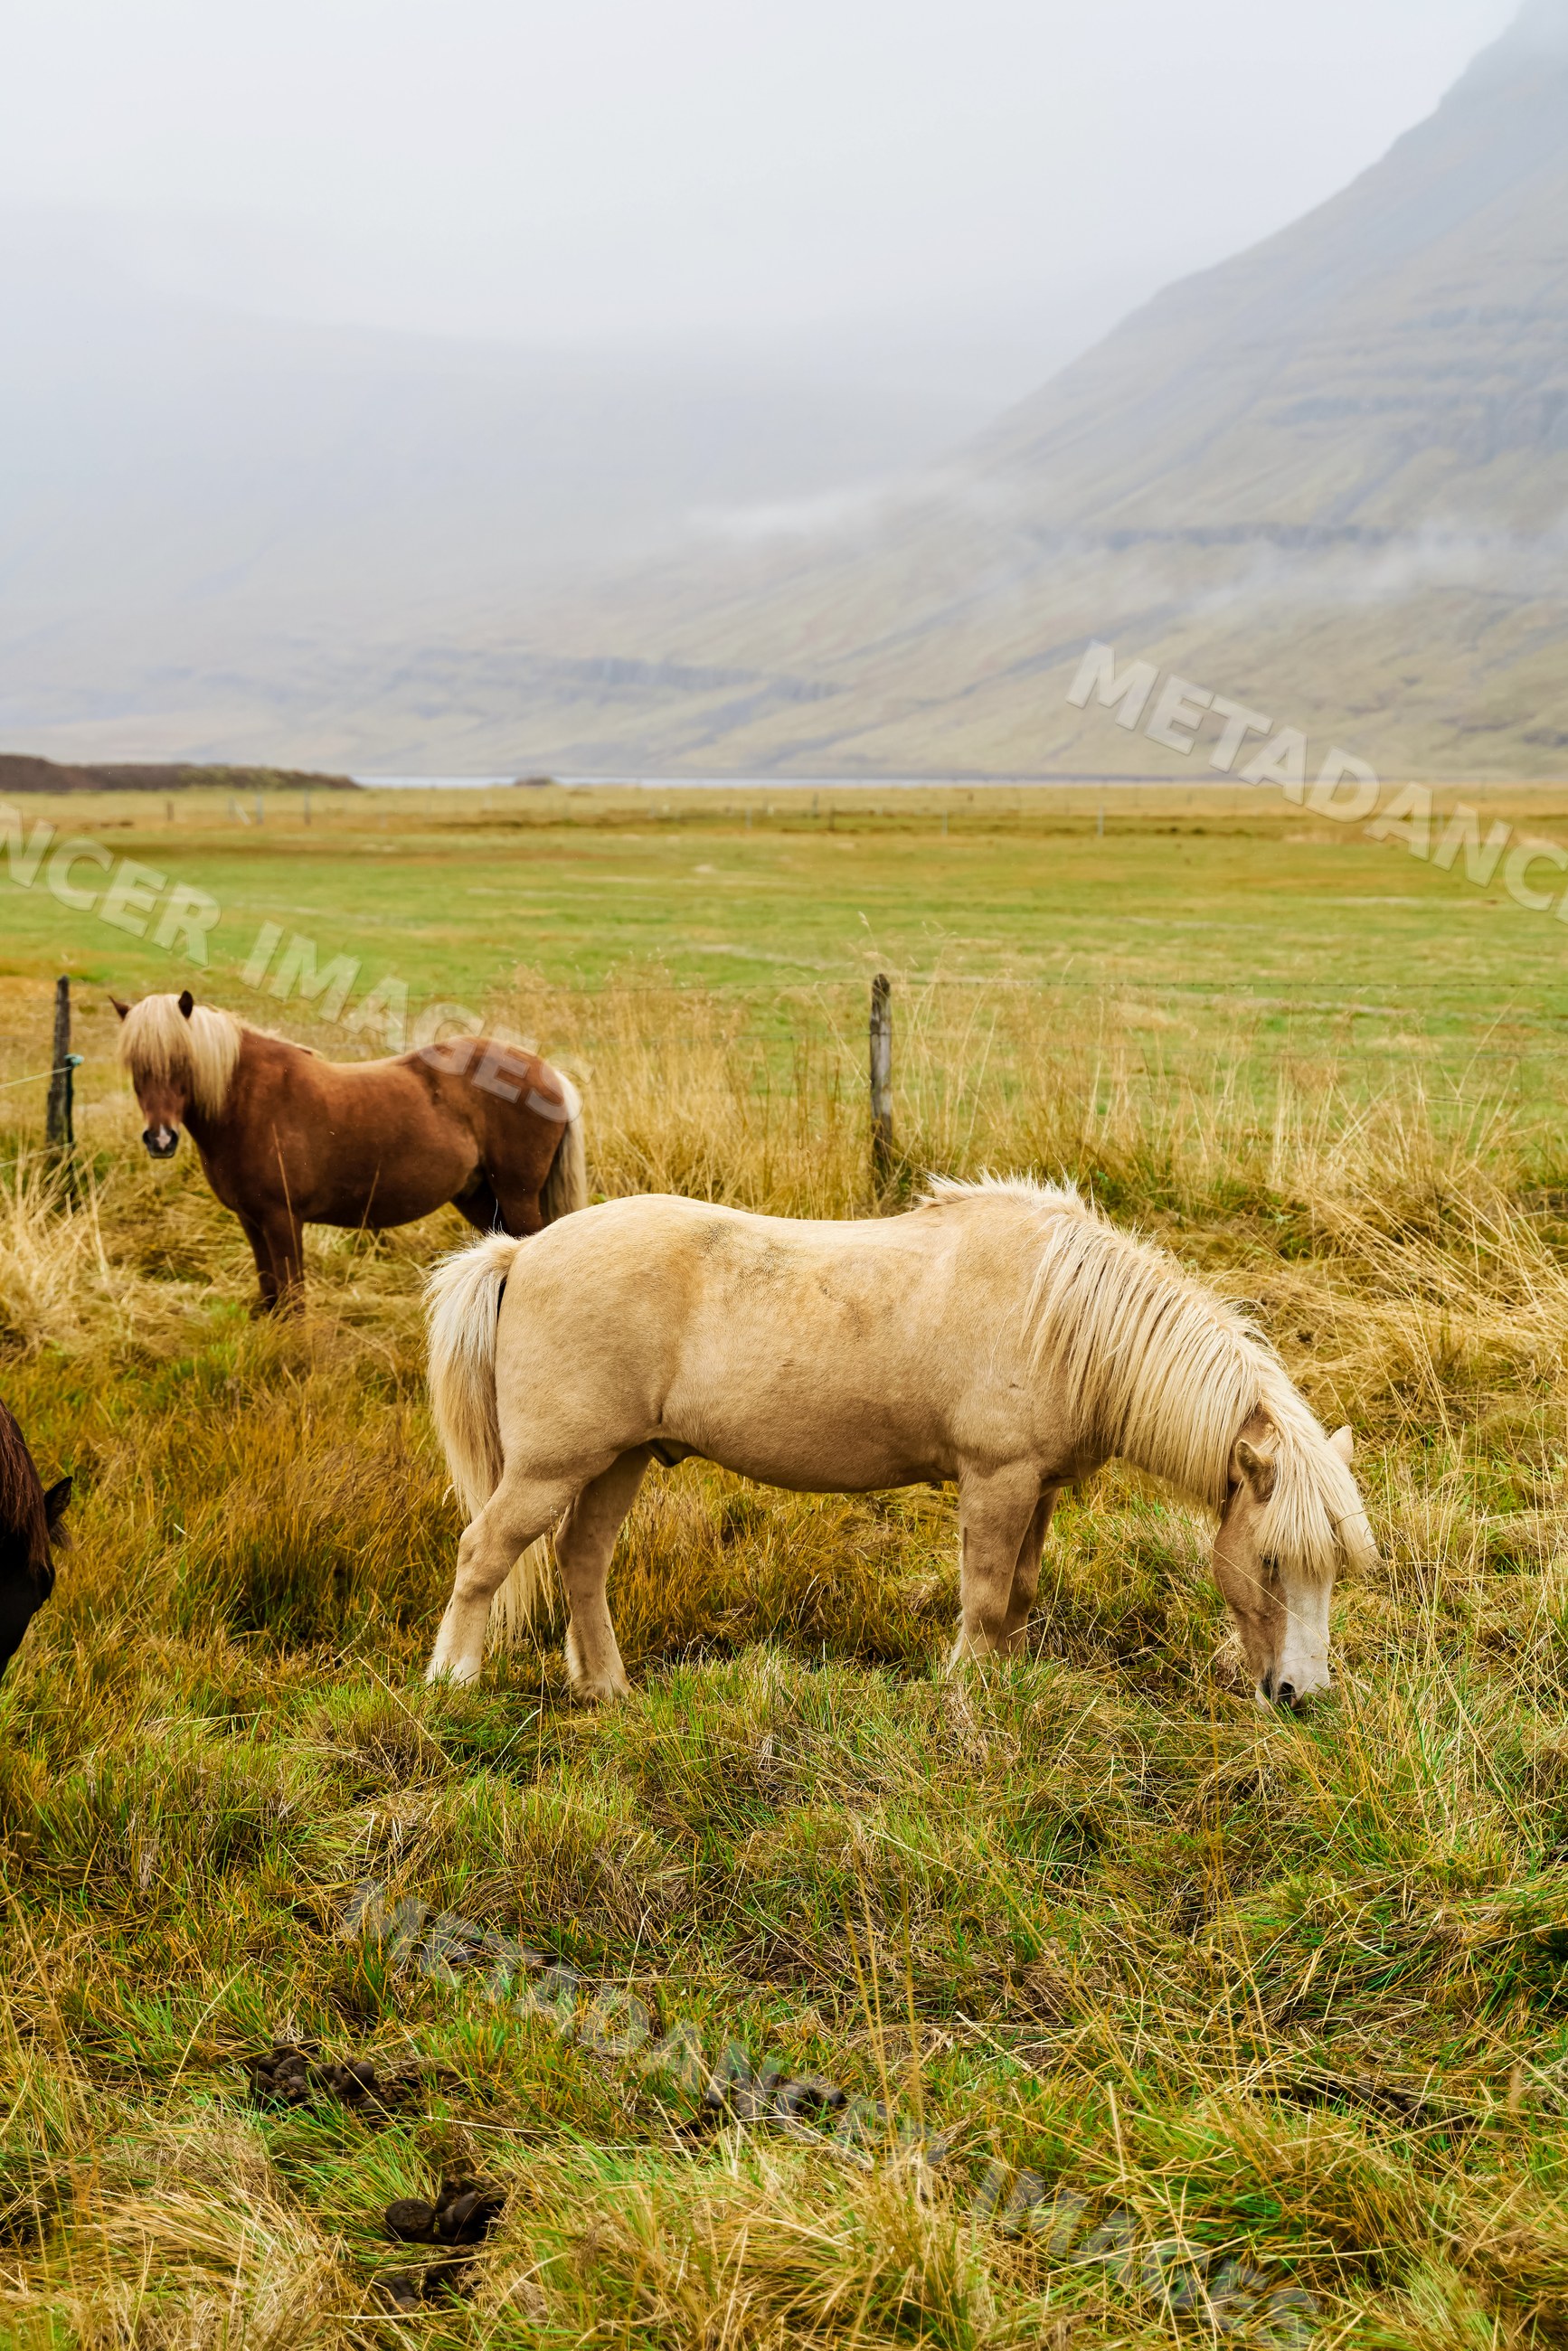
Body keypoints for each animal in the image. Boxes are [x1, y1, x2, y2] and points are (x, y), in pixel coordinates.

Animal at [114, 991, 587, 1310]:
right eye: (135, 1065)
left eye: (181, 1061)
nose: (160, 1140)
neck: (247, 1100)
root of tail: (549, 1074)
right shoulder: (251, 1221)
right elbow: (270, 1295)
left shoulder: (281, 1220)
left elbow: (293, 1299)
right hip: (479, 1198)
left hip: (516, 1195)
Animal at [421, 1175, 1375, 1706]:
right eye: (1269, 1562)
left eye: (1331, 1568)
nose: (1300, 1696)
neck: (1068, 1316)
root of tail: (521, 1253)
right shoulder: (995, 1479)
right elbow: (983, 1597)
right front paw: (964, 1692)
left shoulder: (1038, 1487)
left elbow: (1019, 1594)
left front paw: (1004, 1684)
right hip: (551, 1466)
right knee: (485, 1554)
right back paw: (453, 1682)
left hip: (617, 1461)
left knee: (581, 1561)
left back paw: (608, 1690)